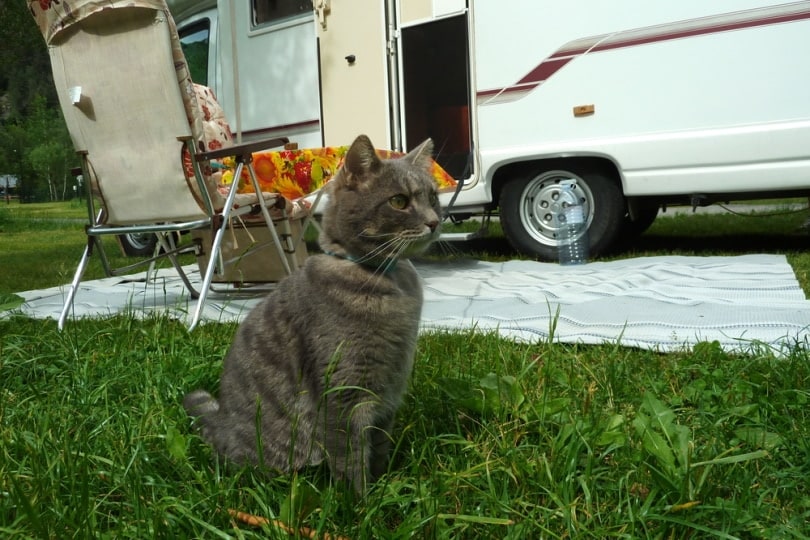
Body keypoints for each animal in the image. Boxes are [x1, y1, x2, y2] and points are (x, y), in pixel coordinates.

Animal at [181, 134, 442, 494]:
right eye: (399, 201)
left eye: (433, 198)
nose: (435, 221)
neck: (386, 279)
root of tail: (220, 427)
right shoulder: (344, 393)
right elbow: (350, 459)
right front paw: (362, 503)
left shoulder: (388, 393)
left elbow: (378, 448)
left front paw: (384, 485)